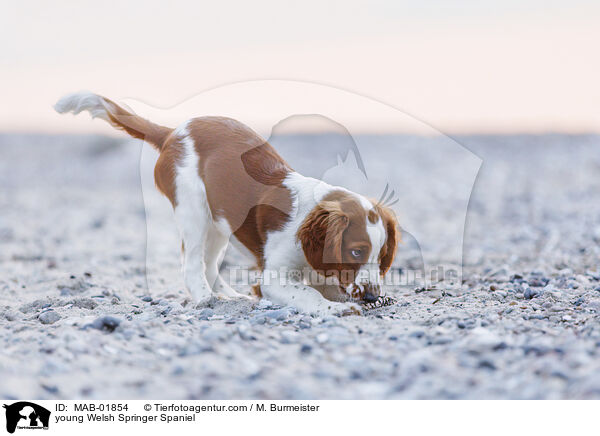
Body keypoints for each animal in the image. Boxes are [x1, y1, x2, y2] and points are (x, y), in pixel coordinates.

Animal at [54, 93, 396, 316]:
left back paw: (230, 297)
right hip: (193, 210)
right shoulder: (272, 279)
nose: (372, 296)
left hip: (220, 222)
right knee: (192, 263)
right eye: (355, 252)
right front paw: (332, 308)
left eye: (381, 257)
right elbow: (306, 293)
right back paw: (207, 299)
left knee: (209, 263)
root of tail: (172, 132)